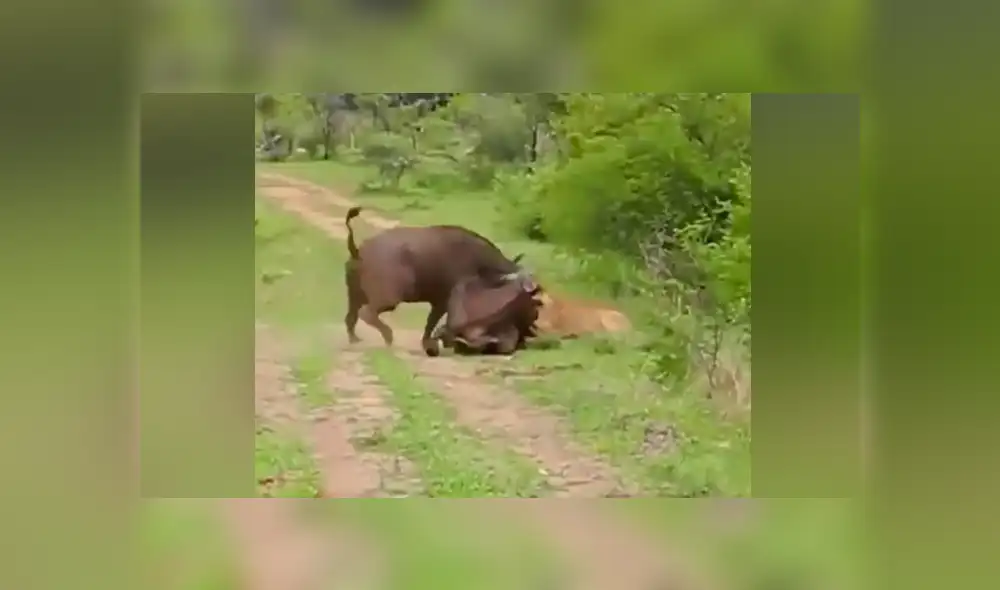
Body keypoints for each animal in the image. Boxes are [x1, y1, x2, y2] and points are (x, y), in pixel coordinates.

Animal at [343, 206, 535, 356]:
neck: (480, 262)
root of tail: (359, 252)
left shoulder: (439, 302)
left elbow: (432, 323)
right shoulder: (445, 301)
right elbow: (434, 323)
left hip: (354, 295)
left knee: (350, 317)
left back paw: (354, 340)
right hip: (388, 299)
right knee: (367, 313)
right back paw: (388, 337)